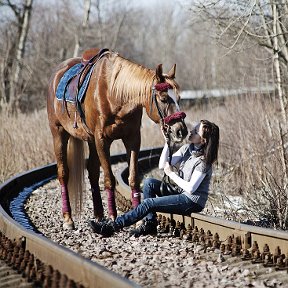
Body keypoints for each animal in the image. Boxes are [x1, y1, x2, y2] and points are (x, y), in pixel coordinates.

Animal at [47, 47, 188, 230]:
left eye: (179, 99)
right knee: (63, 173)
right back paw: (68, 219)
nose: (181, 131)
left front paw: (138, 219)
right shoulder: (102, 140)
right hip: (59, 134)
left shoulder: (133, 139)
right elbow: (109, 180)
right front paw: (113, 218)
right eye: (163, 99)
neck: (115, 94)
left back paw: (99, 216)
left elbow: (133, 178)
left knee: (92, 171)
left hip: (90, 140)